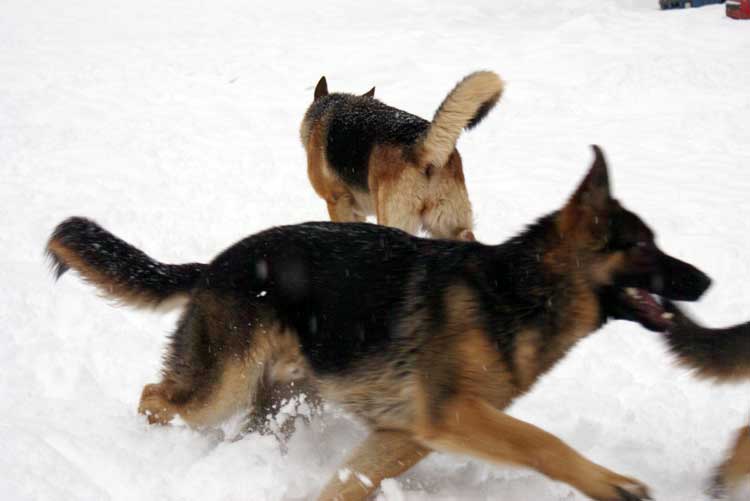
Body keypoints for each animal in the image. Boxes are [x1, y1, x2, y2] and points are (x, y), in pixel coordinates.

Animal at [47, 146, 712, 500]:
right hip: (221, 388)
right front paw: (612, 483)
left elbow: (347, 482)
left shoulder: (404, 435)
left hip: (286, 399)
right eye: (645, 248)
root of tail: (216, 265)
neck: (516, 291)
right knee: (154, 395)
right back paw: (154, 445)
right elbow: (543, 442)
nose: (706, 282)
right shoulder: (454, 415)